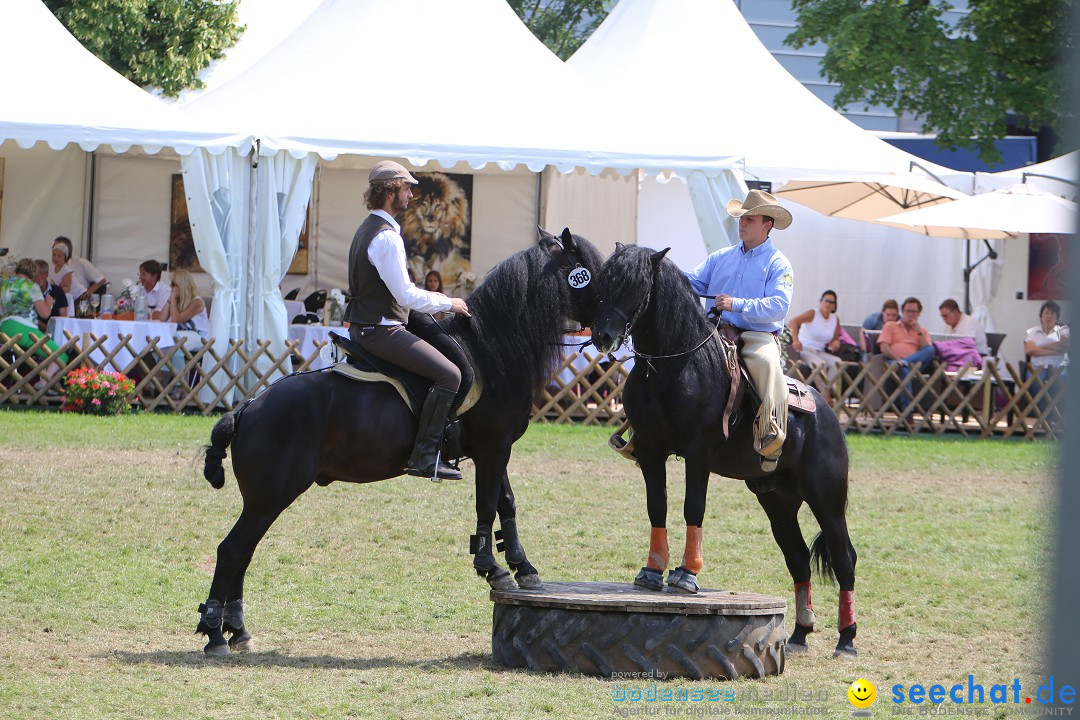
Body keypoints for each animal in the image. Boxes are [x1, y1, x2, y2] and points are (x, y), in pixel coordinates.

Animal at [197, 227, 604, 656]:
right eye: (591, 272)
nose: (613, 329)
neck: (492, 349)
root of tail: (247, 407)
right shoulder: (494, 447)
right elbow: (487, 505)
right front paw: (492, 569)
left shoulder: (492, 450)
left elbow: (504, 504)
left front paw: (523, 568)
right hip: (270, 497)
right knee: (232, 550)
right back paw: (215, 633)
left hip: (263, 500)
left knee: (243, 552)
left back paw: (237, 630)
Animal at [591, 243, 859, 660]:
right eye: (603, 281)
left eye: (635, 285)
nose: (601, 334)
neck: (677, 366)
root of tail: (827, 413)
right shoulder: (651, 453)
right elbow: (657, 507)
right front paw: (652, 571)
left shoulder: (697, 454)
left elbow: (693, 508)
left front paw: (686, 575)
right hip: (778, 501)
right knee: (798, 559)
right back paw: (799, 633)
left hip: (826, 499)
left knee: (844, 557)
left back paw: (846, 639)